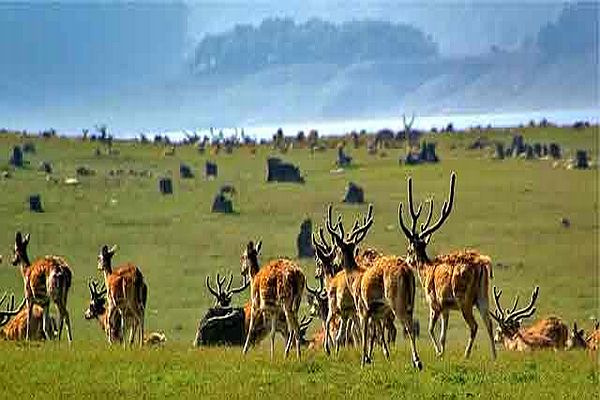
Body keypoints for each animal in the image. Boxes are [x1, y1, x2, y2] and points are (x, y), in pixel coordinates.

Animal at [324, 206, 422, 368]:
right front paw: (373, 358)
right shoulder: (377, 312)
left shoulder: (362, 308)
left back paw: (417, 362)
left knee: (409, 326)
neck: (355, 278)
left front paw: (363, 361)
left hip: (396, 300)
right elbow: (376, 334)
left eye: (337, 249)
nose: (336, 263)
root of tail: (406, 271)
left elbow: (365, 335)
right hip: (411, 301)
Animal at [396, 172, 494, 360]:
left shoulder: (435, 303)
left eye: (409, 249)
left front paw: (438, 353)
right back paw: (494, 356)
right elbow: (443, 335)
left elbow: (430, 329)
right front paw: (442, 351)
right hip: (483, 296)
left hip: (464, 299)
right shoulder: (446, 308)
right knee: (489, 322)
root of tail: (483, 264)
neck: (426, 270)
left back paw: (466, 354)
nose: (407, 260)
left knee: (474, 326)